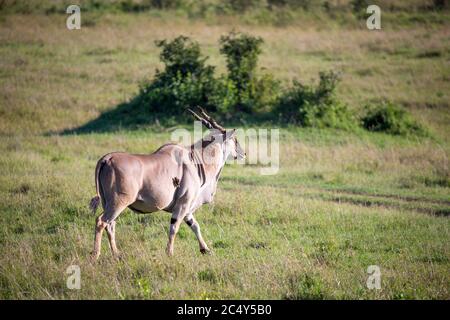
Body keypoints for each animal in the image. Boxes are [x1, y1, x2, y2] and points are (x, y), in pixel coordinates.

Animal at [88, 107, 246, 260]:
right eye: (235, 139)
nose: (243, 153)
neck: (194, 159)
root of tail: (107, 158)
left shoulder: (187, 209)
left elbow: (195, 226)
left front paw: (205, 249)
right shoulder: (183, 204)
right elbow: (174, 228)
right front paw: (169, 253)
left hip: (108, 203)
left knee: (110, 225)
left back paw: (116, 254)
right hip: (118, 202)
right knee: (101, 222)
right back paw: (96, 255)